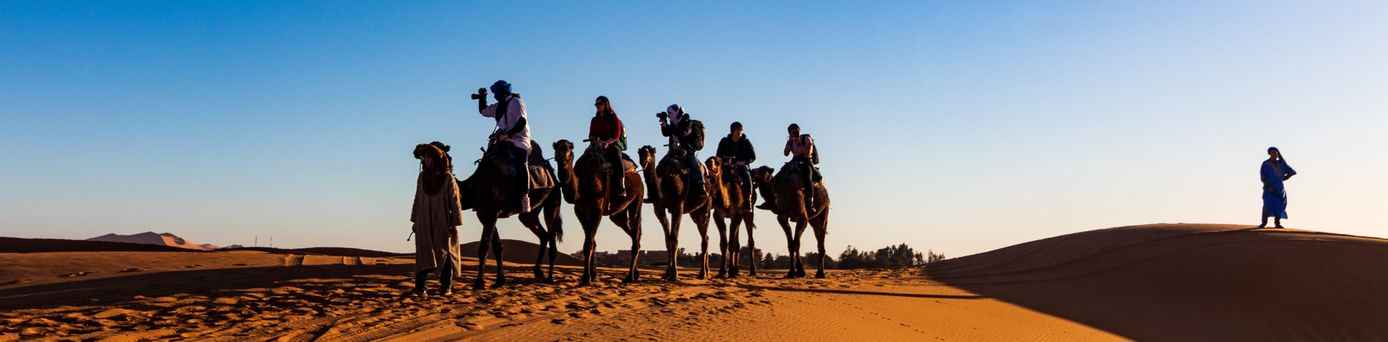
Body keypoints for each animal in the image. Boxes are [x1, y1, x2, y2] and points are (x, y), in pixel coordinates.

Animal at [455, 140, 563, 287]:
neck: (475, 185)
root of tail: (553, 176)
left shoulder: (492, 212)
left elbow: (484, 246)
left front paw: (479, 282)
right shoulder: (483, 214)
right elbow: (497, 246)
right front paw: (500, 280)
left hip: (553, 201)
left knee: (551, 235)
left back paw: (550, 278)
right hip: (530, 213)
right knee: (542, 233)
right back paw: (538, 271)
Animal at [552, 140, 644, 285]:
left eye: (568, 148)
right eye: (556, 148)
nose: (561, 157)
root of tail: (637, 174)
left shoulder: (597, 210)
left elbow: (588, 244)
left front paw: (586, 278)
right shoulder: (580, 212)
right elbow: (591, 243)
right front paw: (593, 275)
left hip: (637, 200)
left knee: (635, 234)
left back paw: (630, 277)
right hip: (618, 214)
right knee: (634, 233)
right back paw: (636, 273)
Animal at [635, 145, 710, 280]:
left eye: (651, 153)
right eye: (640, 152)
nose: (643, 159)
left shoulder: (677, 207)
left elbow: (674, 240)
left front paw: (674, 274)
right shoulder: (659, 209)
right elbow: (668, 240)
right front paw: (666, 274)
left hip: (705, 208)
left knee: (705, 239)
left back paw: (702, 274)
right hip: (695, 213)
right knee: (705, 237)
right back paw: (706, 272)